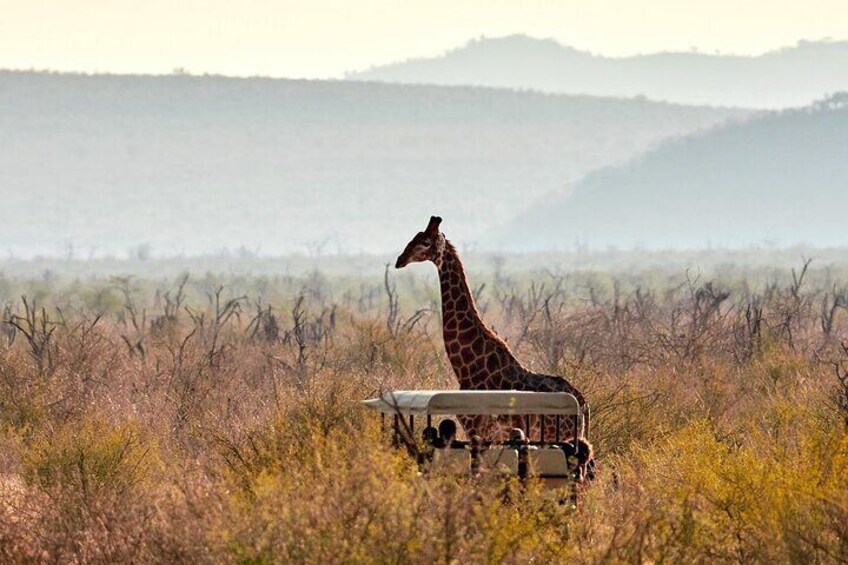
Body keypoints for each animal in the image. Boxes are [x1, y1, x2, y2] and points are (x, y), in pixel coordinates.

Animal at [396, 216, 588, 440]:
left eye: (425, 242)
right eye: (414, 237)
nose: (400, 260)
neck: (466, 368)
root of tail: (583, 404)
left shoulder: (478, 427)